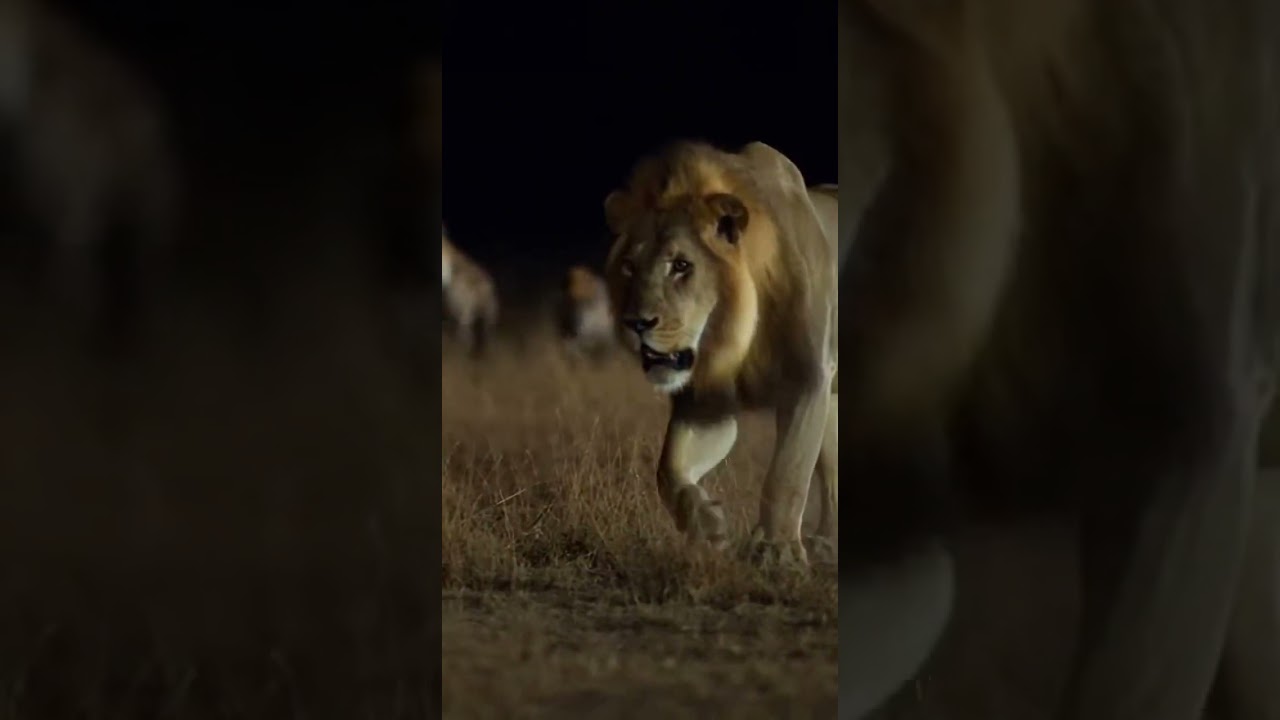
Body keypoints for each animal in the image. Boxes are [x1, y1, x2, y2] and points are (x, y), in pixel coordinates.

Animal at [602, 140, 839, 567]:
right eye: (629, 266)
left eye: (682, 265)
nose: (636, 323)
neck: (735, 337)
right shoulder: (706, 404)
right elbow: (668, 470)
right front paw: (709, 524)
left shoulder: (808, 378)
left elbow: (787, 471)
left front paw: (775, 550)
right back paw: (828, 542)